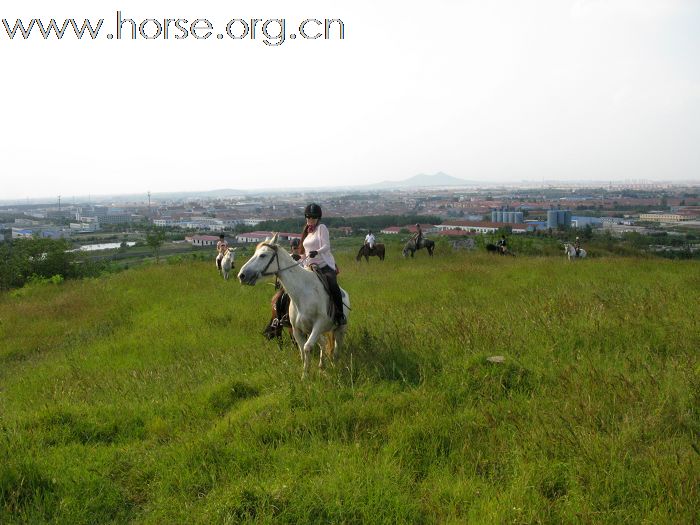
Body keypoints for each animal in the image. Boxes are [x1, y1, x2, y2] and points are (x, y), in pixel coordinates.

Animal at [238, 233, 350, 376]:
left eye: (263, 255)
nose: (242, 275)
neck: (303, 292)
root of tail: (344, 293)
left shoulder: (319, 324)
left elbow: (307, 347)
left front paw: (306, 374)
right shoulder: (297, 330)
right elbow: (302, 350)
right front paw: (305, 374)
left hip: (340, 329)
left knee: (336, 348)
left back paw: (333, 365)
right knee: (323, 343)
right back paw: (322, 365)